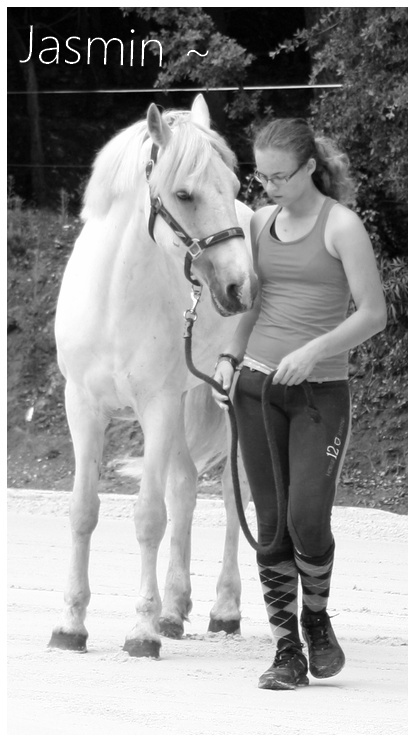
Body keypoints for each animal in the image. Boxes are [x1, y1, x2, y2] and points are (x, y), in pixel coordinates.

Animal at [50, 96, 258, 660]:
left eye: (234, 185)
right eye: (184, 194)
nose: (241, 287)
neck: (114, 299)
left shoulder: (158, 405)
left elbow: (148, 517)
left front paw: (141, 632)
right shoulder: (83, 406)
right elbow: (83, 511)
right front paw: (71, 625)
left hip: (227, 401)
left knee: (232, 497)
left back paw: (223, 609)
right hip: (187, 399)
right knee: (185, 489)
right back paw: (174, 609)